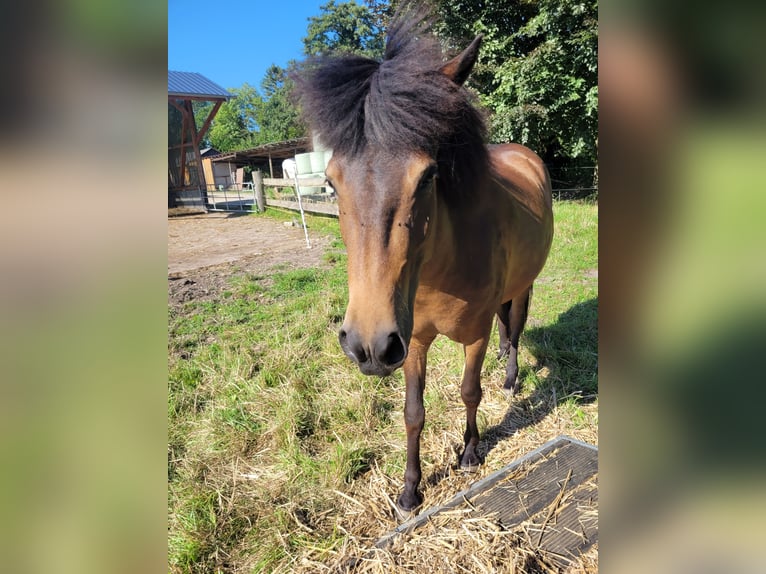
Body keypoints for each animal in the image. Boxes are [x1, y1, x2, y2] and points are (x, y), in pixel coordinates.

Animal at [296, 12, 556, 512]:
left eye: (428, 175)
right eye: (331, 183)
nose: (367, 345)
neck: (440, 271)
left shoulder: (471, 335)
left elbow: (469, 391)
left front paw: (470, 452)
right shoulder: (412, 340)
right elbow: (413, 411)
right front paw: (410, 489)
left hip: (524, 286)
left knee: (514, 328)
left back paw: (510, 376)